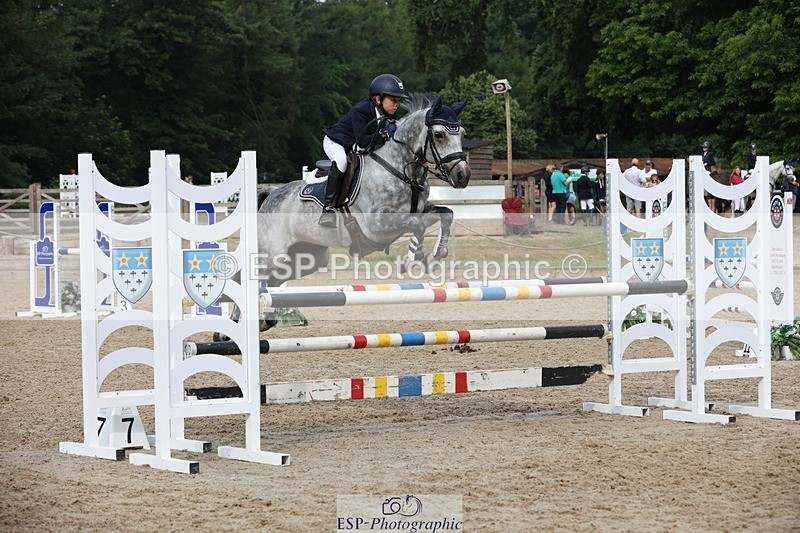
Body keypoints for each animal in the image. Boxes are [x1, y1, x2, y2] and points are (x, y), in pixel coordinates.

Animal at [217, 94, 472, 338]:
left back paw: (264, 321)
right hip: (270, 253)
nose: (463, 176)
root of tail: (270, 193)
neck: (401, 169)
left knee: (272, 281)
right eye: (438, 134)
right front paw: (411, 260)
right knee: (246, 278)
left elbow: (446, 215)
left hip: (307, 258)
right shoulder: (377, 224)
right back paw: (228, 329)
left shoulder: (418, 210)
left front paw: (436, 256)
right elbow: (417, 226)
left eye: (462, 134)